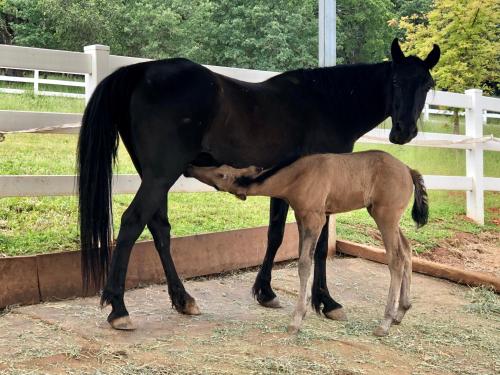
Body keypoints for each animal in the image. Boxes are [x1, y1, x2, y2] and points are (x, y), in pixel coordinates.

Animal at [186, 151, 428, 338]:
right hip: (387, 218)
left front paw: (296, 320)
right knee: (407, 250)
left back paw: (385, 323)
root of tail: (409, 170)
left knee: (396, 260)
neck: (299, 175)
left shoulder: (315, 218)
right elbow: (304, 260)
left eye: (221, 174)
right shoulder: (302, 218)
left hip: (385, 216)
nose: (190, 168)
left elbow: (304, 264)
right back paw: (401, 311)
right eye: (221, 167)